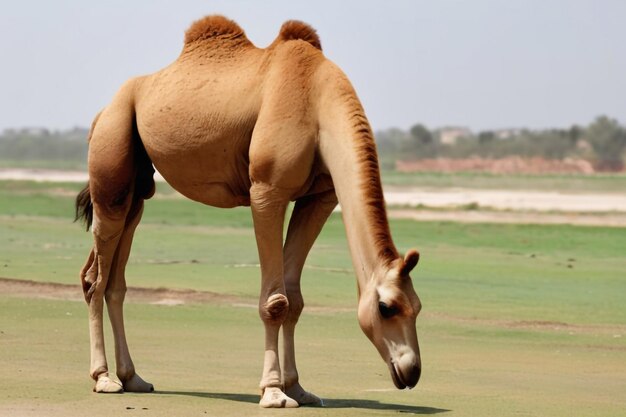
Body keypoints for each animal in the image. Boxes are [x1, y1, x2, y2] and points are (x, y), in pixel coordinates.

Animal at [75, 15, 422, 406]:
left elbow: (294, 298)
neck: (319, 103)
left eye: (418, 307)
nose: (412, 371)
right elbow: (276, 301)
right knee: (95, 279)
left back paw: (133, 377)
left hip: (137, 186)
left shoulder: (319, 197)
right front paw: (273, 392)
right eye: (386, 307)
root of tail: (102, 112)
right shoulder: (267, 190)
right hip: (112, 153)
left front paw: (298, 388)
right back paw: (103, 378)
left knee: (115, 275)